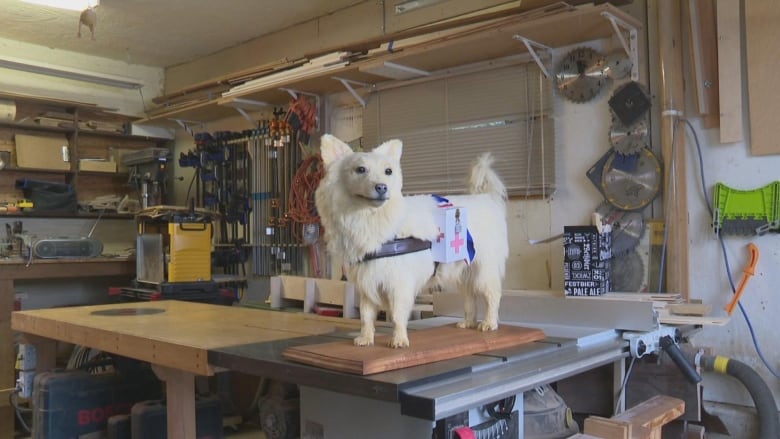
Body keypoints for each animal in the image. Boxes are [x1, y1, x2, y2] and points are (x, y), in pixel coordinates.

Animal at [314, 136, 508, 348]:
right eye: (360, 169)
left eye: (388, 171)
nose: (382, 187)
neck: (370, 218)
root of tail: (487, 199)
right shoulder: (367, 284)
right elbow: (366, 316)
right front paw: (366, 338)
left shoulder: (399, 283)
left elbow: (398, 315)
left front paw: (399, 340)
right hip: (464, 272)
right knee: (469, 298)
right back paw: (469, 322)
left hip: (483, 270)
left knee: (492, 295)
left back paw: (489, 323)